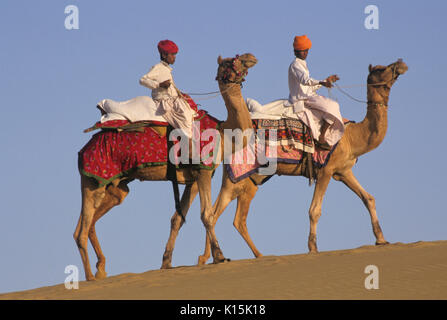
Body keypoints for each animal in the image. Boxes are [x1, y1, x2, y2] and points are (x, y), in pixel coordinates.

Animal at [74, 52, 260, 280]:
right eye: (232, 61)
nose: (251, 57)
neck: (224, 133)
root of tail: (83, 150)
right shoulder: (203, 171)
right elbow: (206, 215)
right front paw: (219, 256)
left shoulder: (193, 179)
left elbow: (177, 218)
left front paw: (166, 262)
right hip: (94, 179)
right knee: (82, 229)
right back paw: (90, 277)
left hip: (114, 184)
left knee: (90, 221)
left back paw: (100, 269)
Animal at [194, 58, 408, 264]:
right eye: (380, 69)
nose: (401, 64)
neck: (352, 137)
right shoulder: (326, 170)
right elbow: (315, 210)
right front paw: (312, 248)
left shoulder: (343, 171)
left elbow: (368, 198)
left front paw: (381, 239)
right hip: (238, 175)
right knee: (217, 212)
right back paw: (217, 257)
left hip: (249, 180)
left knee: (229, 215)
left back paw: (218, 257)